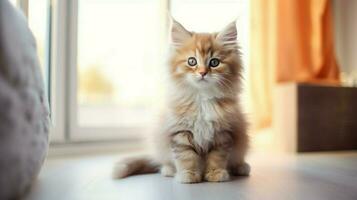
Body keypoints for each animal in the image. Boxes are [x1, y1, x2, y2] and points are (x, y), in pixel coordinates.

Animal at [112, 18, 249, 183]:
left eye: (214, 63)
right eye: (192, 61)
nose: (202, 73)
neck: (202, 99)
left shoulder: (223, 133)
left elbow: (217, 157)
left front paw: (216, 174)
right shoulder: (180, 132)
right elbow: (186, 157)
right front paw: (188, 175)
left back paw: (241, 167)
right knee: (164, 162)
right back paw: (169, 170)